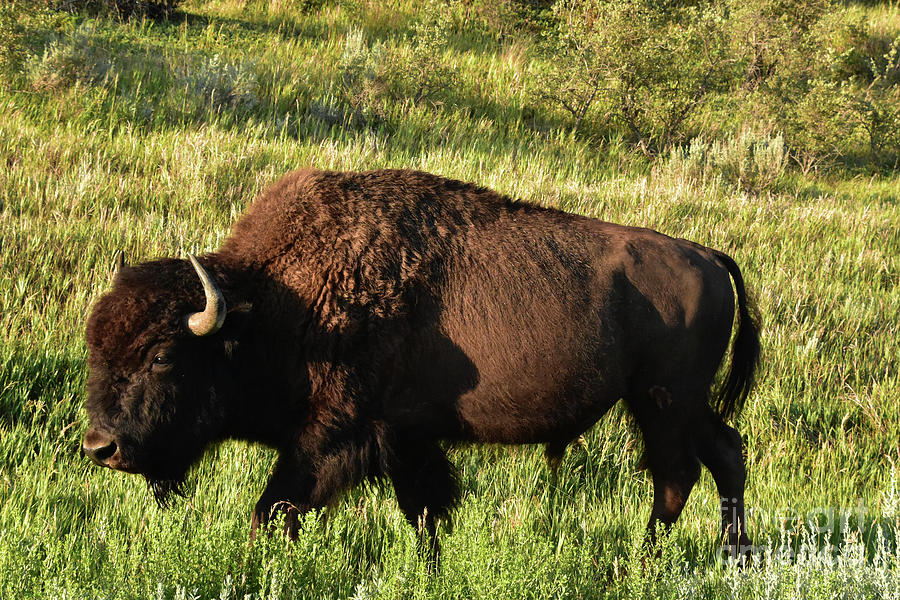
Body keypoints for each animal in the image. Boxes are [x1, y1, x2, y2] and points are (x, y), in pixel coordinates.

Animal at [82, 168, 760, 556]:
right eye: (95, 347)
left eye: (163, 355)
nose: (99, 447)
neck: (276, 301)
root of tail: (707, 255)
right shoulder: (407, 440)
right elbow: (428, 516)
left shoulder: (334, 434)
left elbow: (271, 511)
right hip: (683, 404)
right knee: (726, 453)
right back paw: (732, 553)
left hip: (662, 402)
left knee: (676, 477)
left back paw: (640, 563)